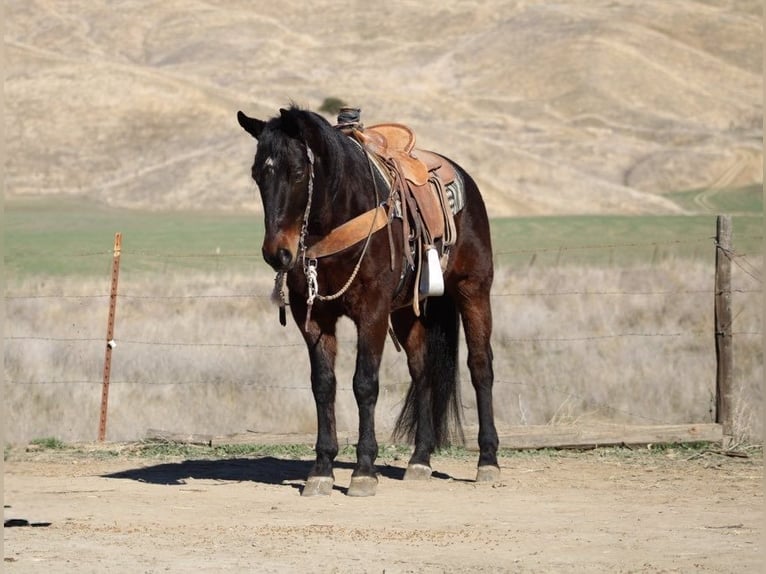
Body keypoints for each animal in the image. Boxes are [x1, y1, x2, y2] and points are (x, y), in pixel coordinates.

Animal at [240, 106, 500, 498]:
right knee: (422, 371)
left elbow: (364, 383)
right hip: (409, 312)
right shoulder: (312, 317)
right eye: (258, 174)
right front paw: (321, 468)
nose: (277, 253)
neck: (339, 217)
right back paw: (420, 460)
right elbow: (323, 385)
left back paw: (488, 461)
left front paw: (364, 470)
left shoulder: (372, 311)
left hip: (474, 290)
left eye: (297, 172)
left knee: (481, 367)